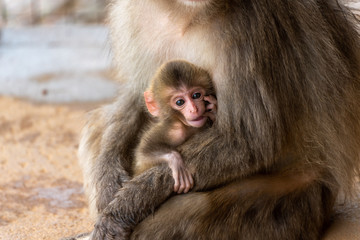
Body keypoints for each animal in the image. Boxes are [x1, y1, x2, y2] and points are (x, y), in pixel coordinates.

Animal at [133, 59, 215, 193]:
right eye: (180, 102)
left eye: (196, 95)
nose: (194, 109)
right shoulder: (173, 130)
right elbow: (143, 155)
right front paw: (175, 160)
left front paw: (213, 108)